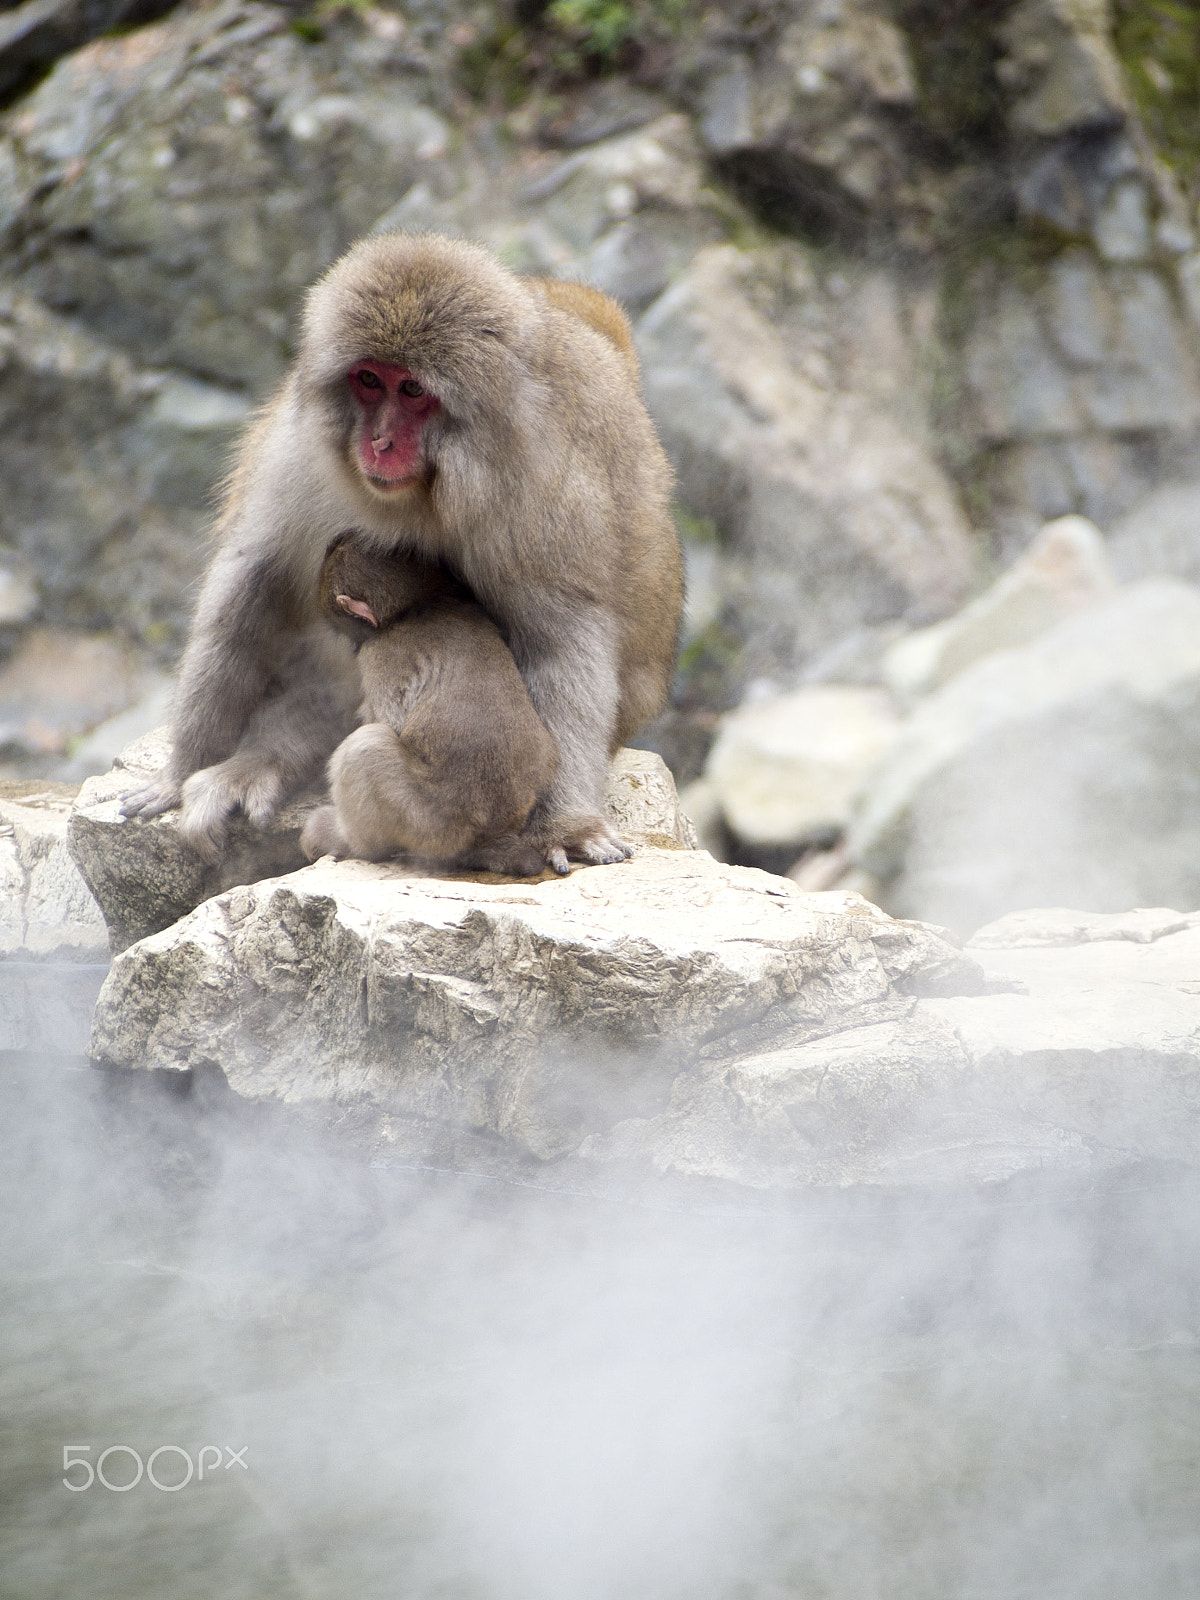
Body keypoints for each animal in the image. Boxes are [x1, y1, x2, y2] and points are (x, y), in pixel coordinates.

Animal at [298, 533, 557, 874]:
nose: (352, 645)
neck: (419, 605)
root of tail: (490, 835)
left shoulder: (379, 652)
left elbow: (388, 719)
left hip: (426, 825)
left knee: (365, 747)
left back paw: (349, 842)